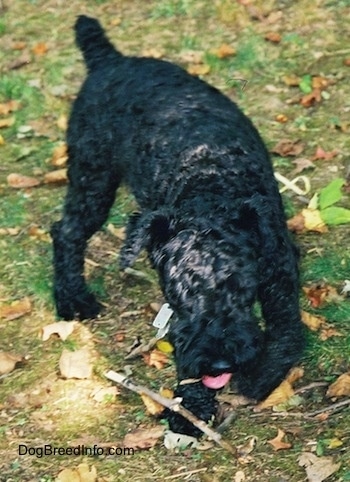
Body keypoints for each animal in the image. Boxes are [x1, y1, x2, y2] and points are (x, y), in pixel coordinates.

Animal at [51, 16, 304, 436]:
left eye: (241, 285)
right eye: (177, 291)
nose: (219, 364)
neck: (211, 184)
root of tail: (110, 60)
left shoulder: (280, 271)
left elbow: (286, 332)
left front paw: (258, 377)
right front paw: (191, 407)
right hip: (92, 176)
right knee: (66, 231)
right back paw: (72, 298)